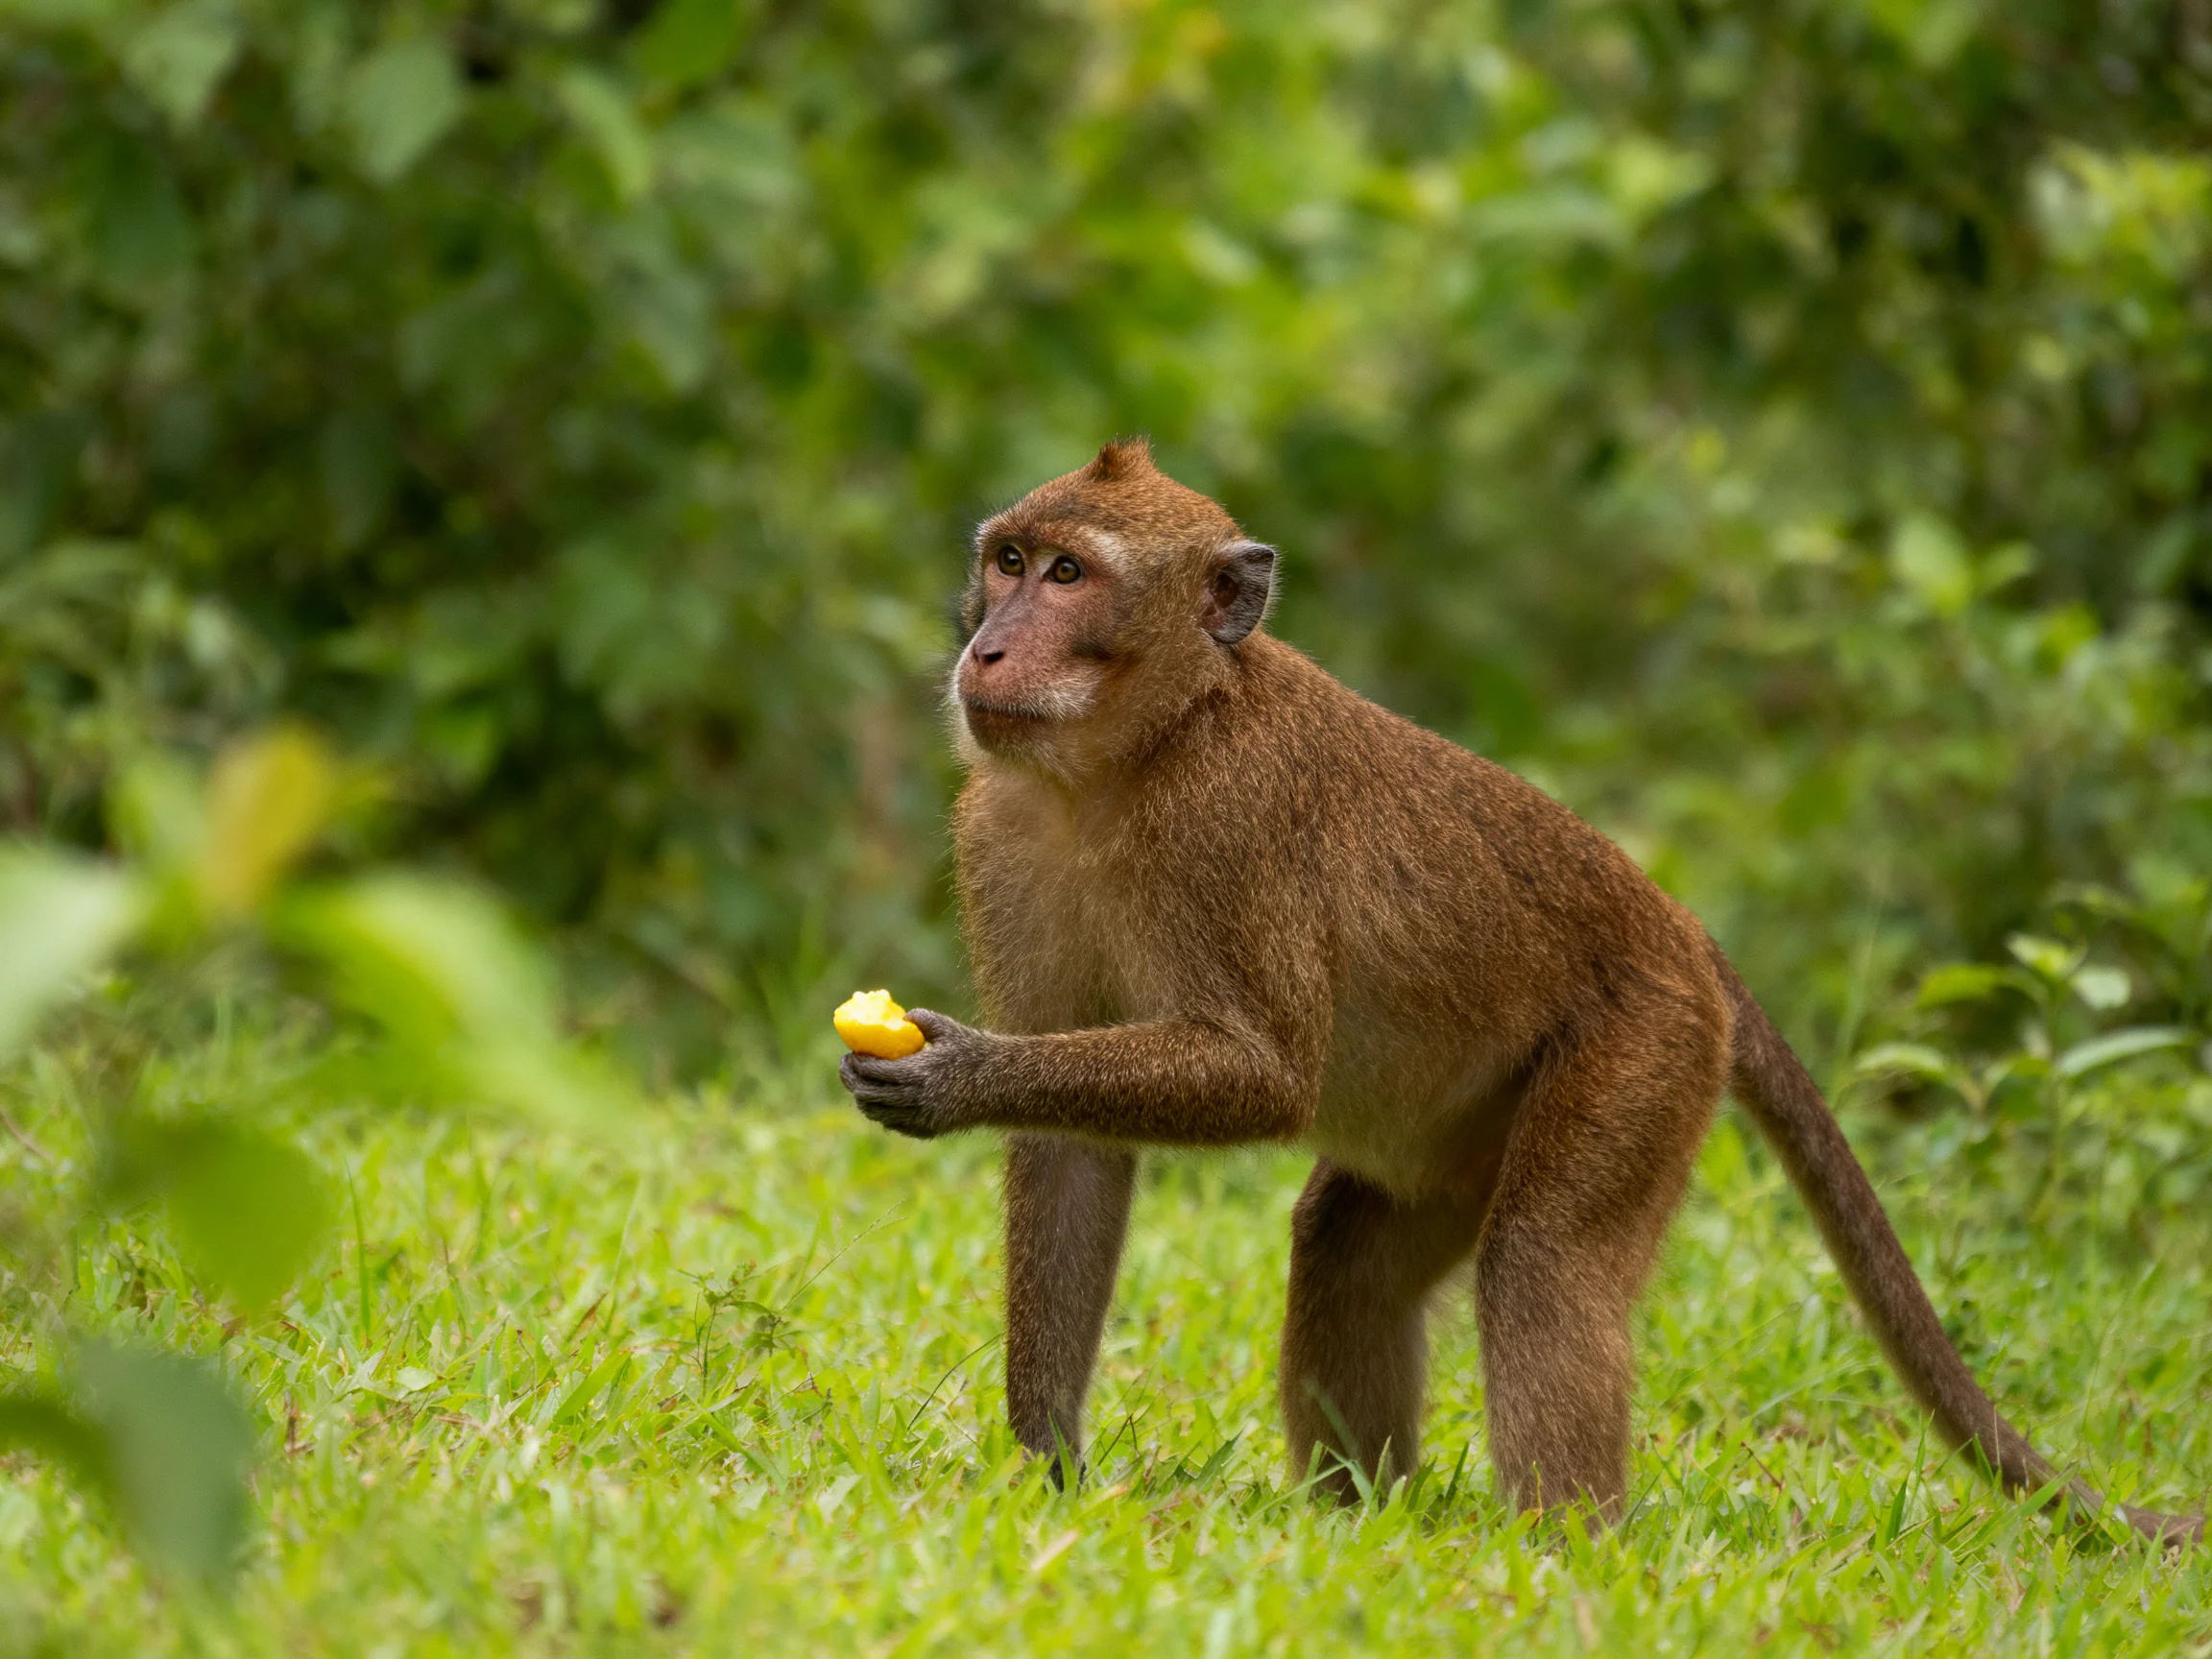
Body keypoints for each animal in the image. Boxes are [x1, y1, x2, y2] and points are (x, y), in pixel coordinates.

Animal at [837, 437, 2204, 1544]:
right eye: (1009, 561)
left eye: (1070, 577)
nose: (986, 644)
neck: (1134, 755)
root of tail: (1686, 934)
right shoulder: (1000, 834)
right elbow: (1072, 1156)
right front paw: (1045, 1472)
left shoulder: (1228, 825)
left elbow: (1263, 1075)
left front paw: (961, 1071)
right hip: (1465, 1131)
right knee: (1350, 1248)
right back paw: (1363, 1520)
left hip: (1645, 1050)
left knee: (1545, 1261)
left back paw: (1561, 1548)